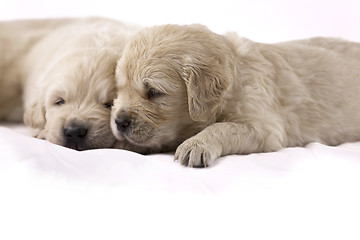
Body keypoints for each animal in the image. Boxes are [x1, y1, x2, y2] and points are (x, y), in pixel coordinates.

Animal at [111, 24, 360, 167]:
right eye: (119, 89)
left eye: (154, 93)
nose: (119, 122)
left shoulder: (264, 128)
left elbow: (222, 127)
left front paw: (196, 144)